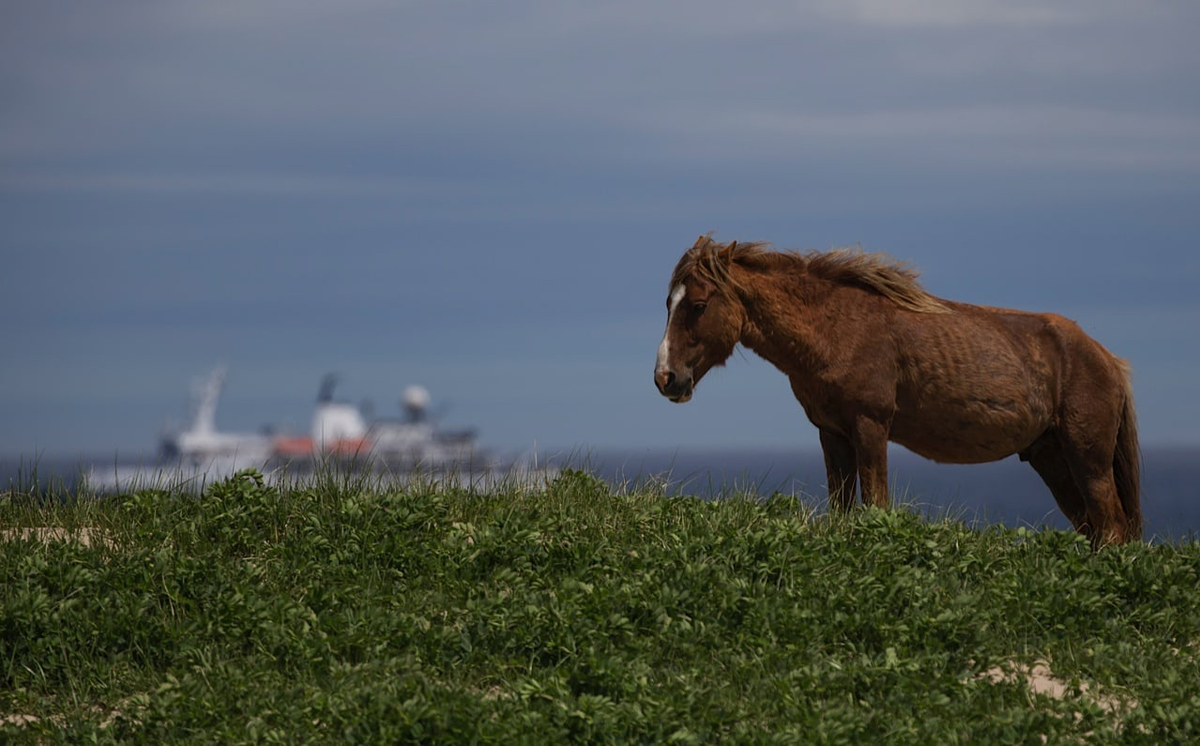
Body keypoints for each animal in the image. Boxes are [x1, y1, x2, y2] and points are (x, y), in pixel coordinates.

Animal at [652, 236, 1137, 546]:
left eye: (698, 305)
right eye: (669, 303)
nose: (665, 377)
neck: (835, 329)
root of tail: (1107, 360)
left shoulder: (870, 427)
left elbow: (876, 504)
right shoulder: (832, 434)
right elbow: (843, 508)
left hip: (1087, 458)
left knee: (1112, 528)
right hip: (1051, 458)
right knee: (1096, 528)